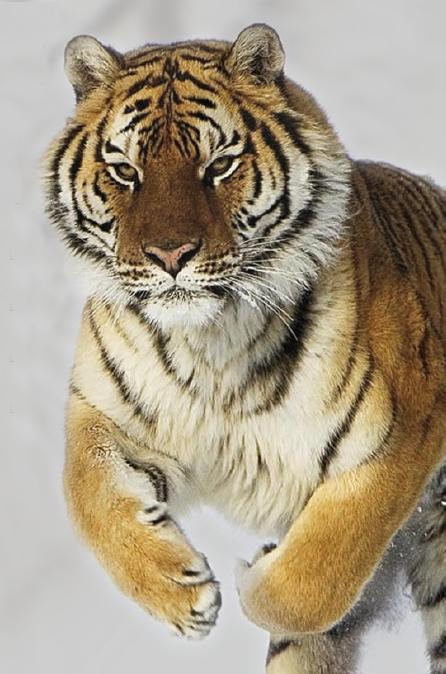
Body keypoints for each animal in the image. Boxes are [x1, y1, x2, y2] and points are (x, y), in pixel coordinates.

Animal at [43, 23, 446, 674]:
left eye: (220, 165)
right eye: (125, 171)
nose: (170, 255)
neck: (210, 343)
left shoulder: (404, 431)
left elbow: (317, 575)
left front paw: (255, 575)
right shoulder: (103, 412)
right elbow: (88, 497)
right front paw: (181, 595)